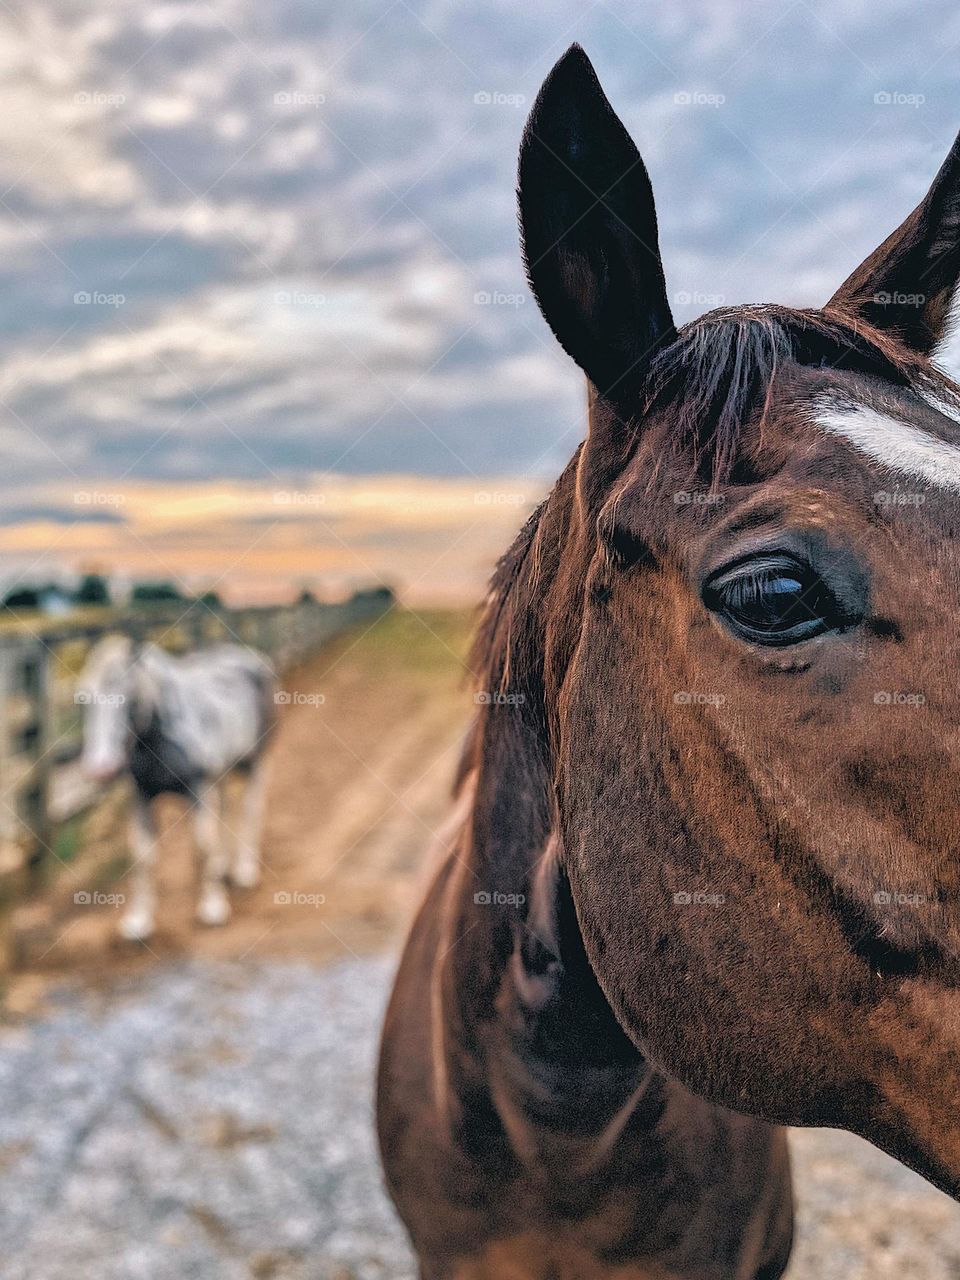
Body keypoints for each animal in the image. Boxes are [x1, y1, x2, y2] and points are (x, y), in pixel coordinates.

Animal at [79, 637, 276, 942]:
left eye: (128, 697)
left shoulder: (198, 790)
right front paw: (139, 921)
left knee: (250, 807)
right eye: (83, 699)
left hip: (253, 762)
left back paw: (245, 870)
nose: (101, 768)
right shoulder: (141, 796)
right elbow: (143, 856)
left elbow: (202, 847)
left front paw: (213, 908)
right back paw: (224, 867)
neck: (157, 736)